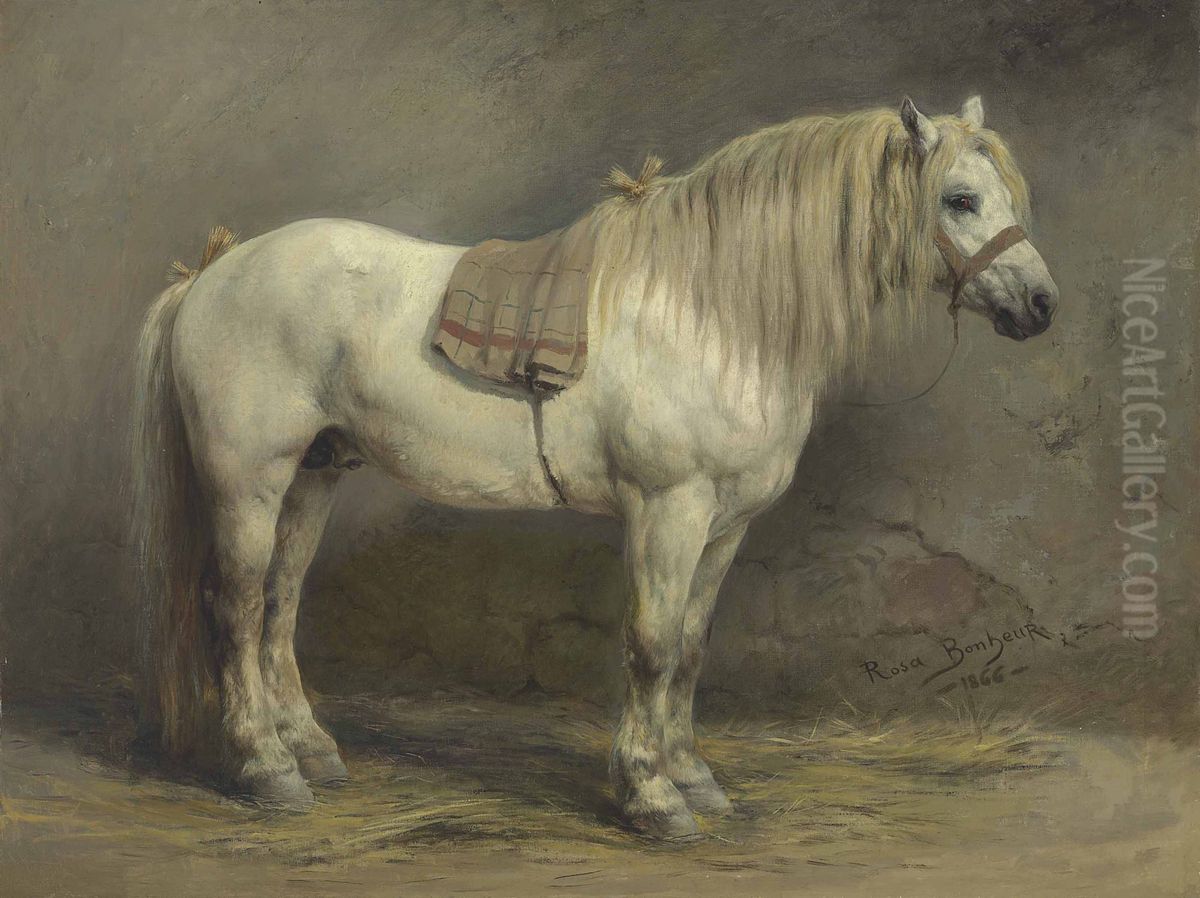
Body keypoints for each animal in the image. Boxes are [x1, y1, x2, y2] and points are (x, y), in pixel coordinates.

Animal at [131, 95, 1058, 839]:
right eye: (961, 199)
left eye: (1008, 196)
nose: (1042, 305)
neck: (714, 311)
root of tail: (215, 270)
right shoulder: (668, 511)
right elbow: (650, 646)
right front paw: (651, 797)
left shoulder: (725, 526)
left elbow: (690, 649)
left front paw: (693, 777)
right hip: (248, 483)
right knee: (235, 609)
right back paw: (265, 769)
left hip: (313, 476)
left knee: (279, 608)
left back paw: (311, 752)